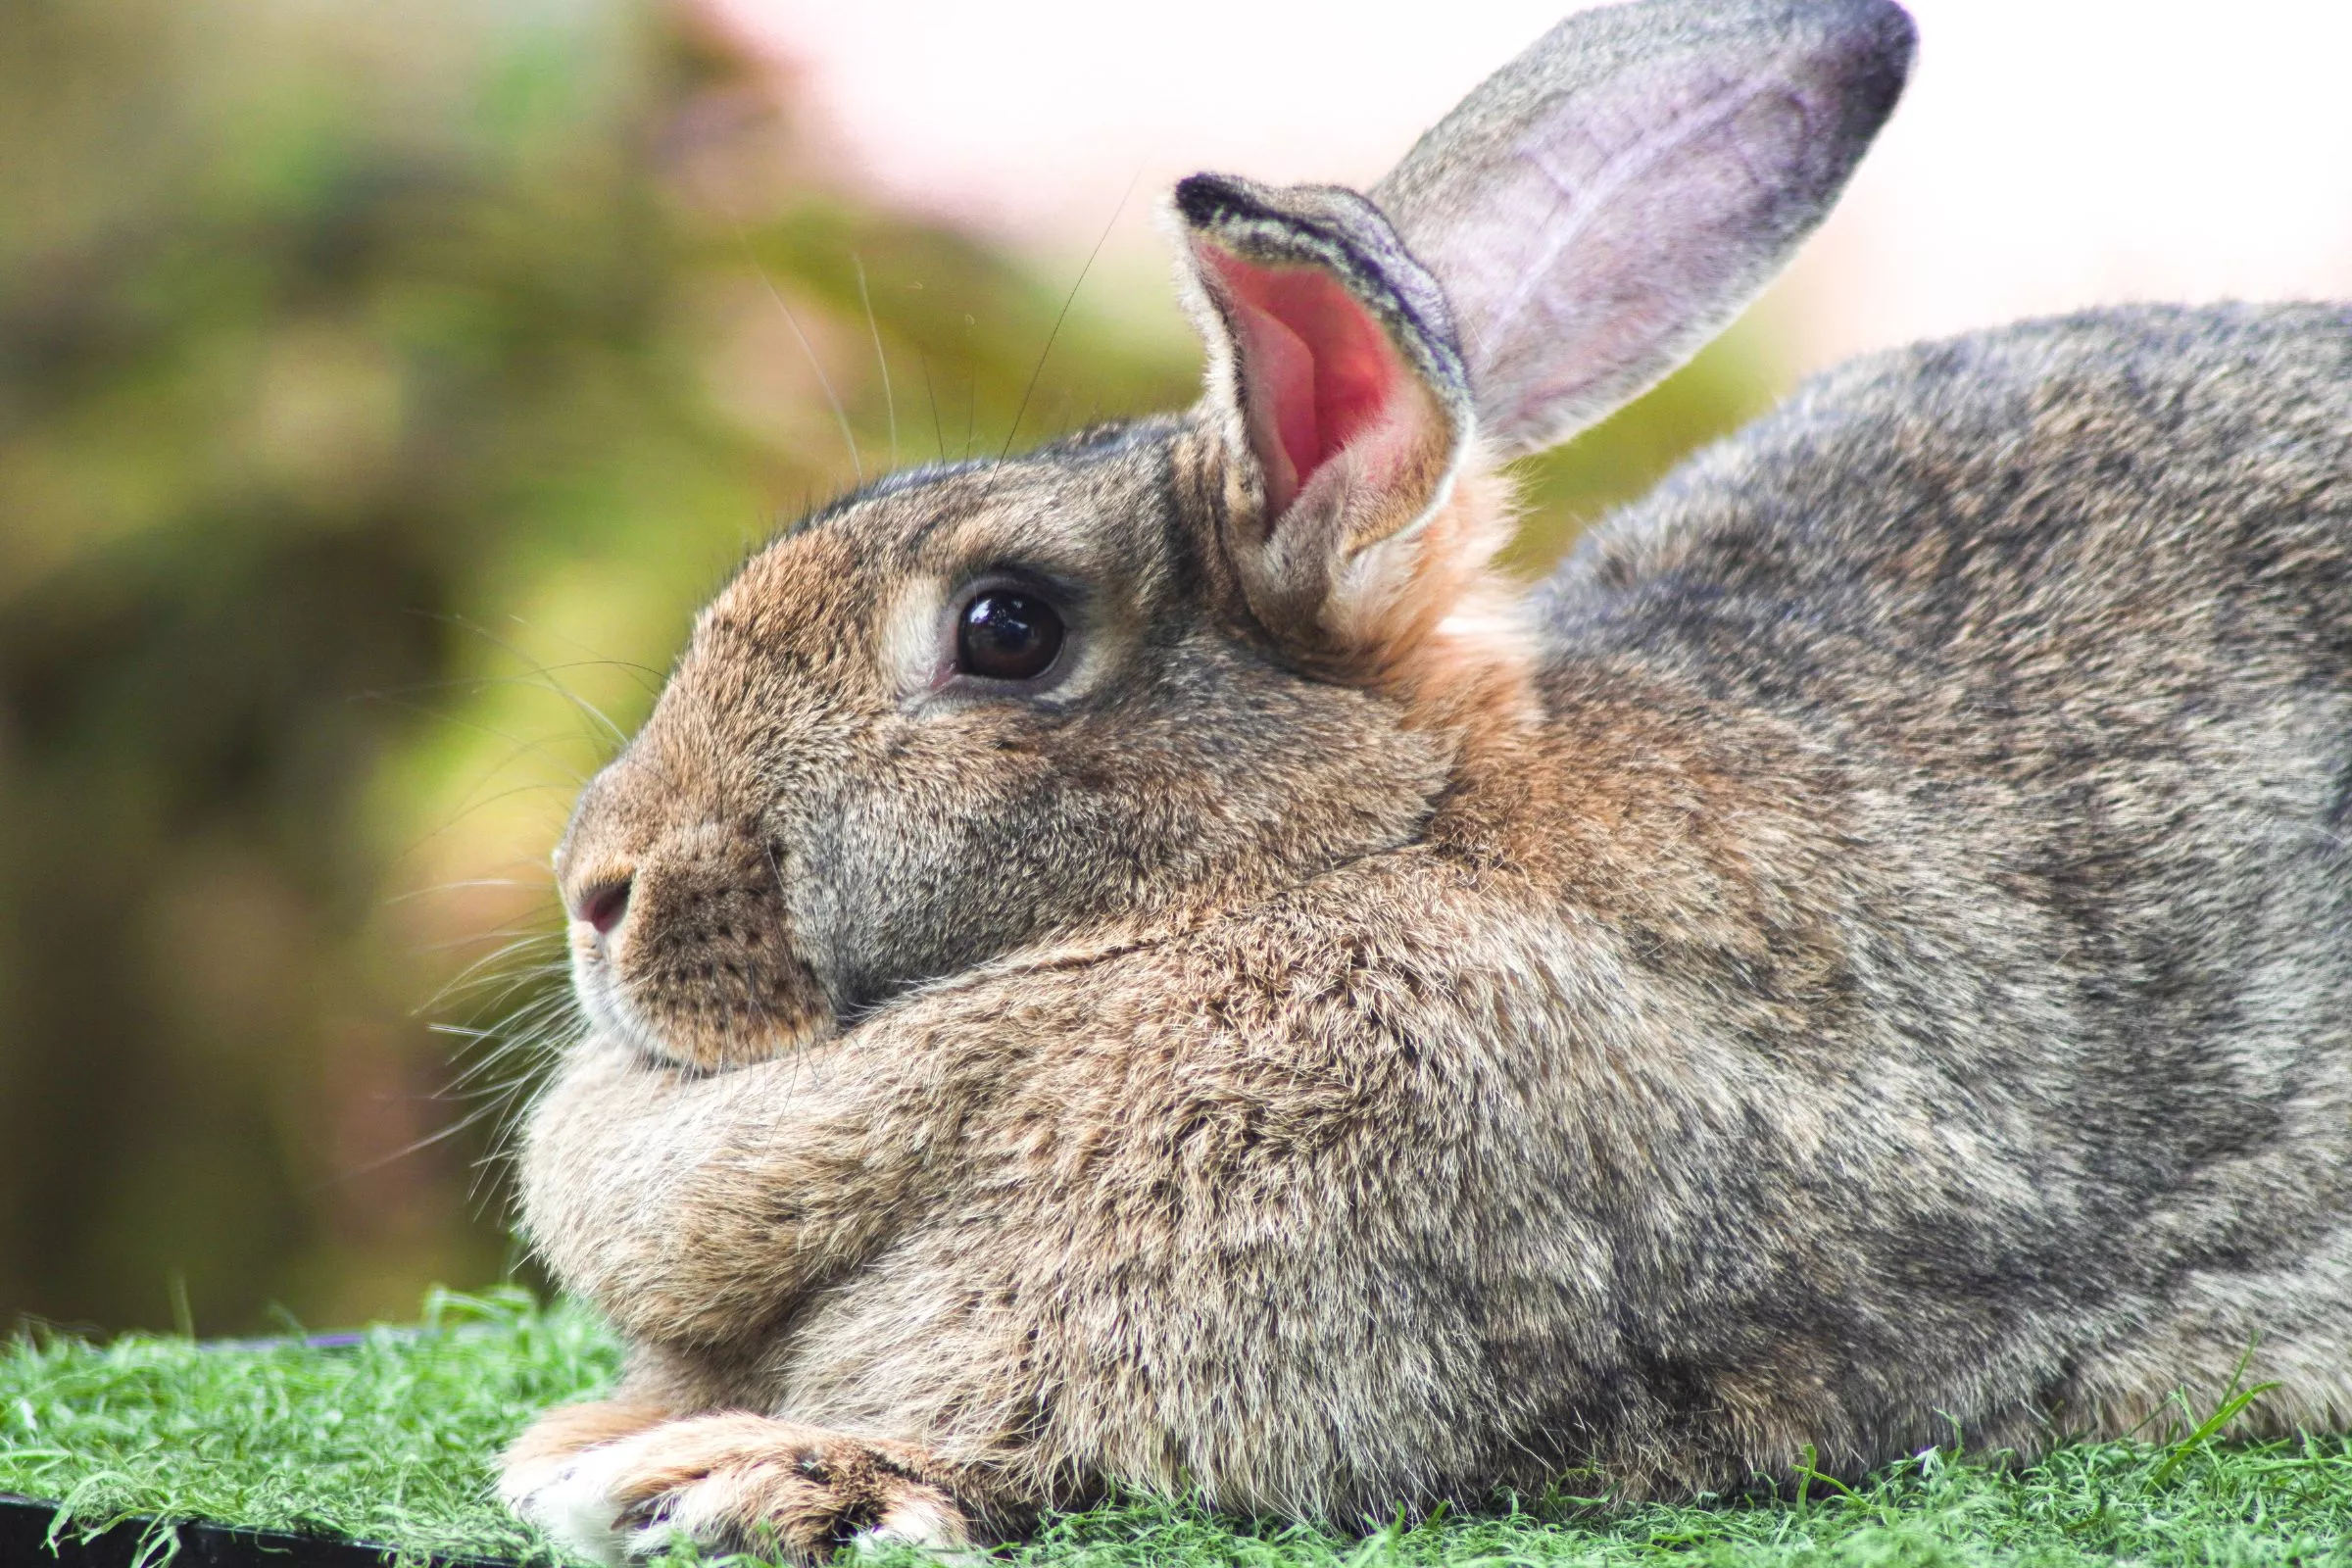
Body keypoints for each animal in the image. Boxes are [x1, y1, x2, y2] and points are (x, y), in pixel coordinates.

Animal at [496, 0, 2352, 1560]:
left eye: (1005, 629)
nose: (598, 889)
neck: (1354, 846)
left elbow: (1037, 1453)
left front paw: (713, 1477)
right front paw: (589, 1440)